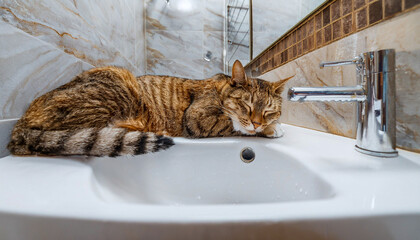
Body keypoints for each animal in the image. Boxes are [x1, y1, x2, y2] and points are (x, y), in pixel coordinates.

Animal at [6, 61, 290, 157]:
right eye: (246, 104)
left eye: (268, 111)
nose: (258, 122)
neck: (220, 90)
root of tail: (19, 125)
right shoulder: (198, 118)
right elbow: (232, 124)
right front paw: (270, 130)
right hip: (118, 83)